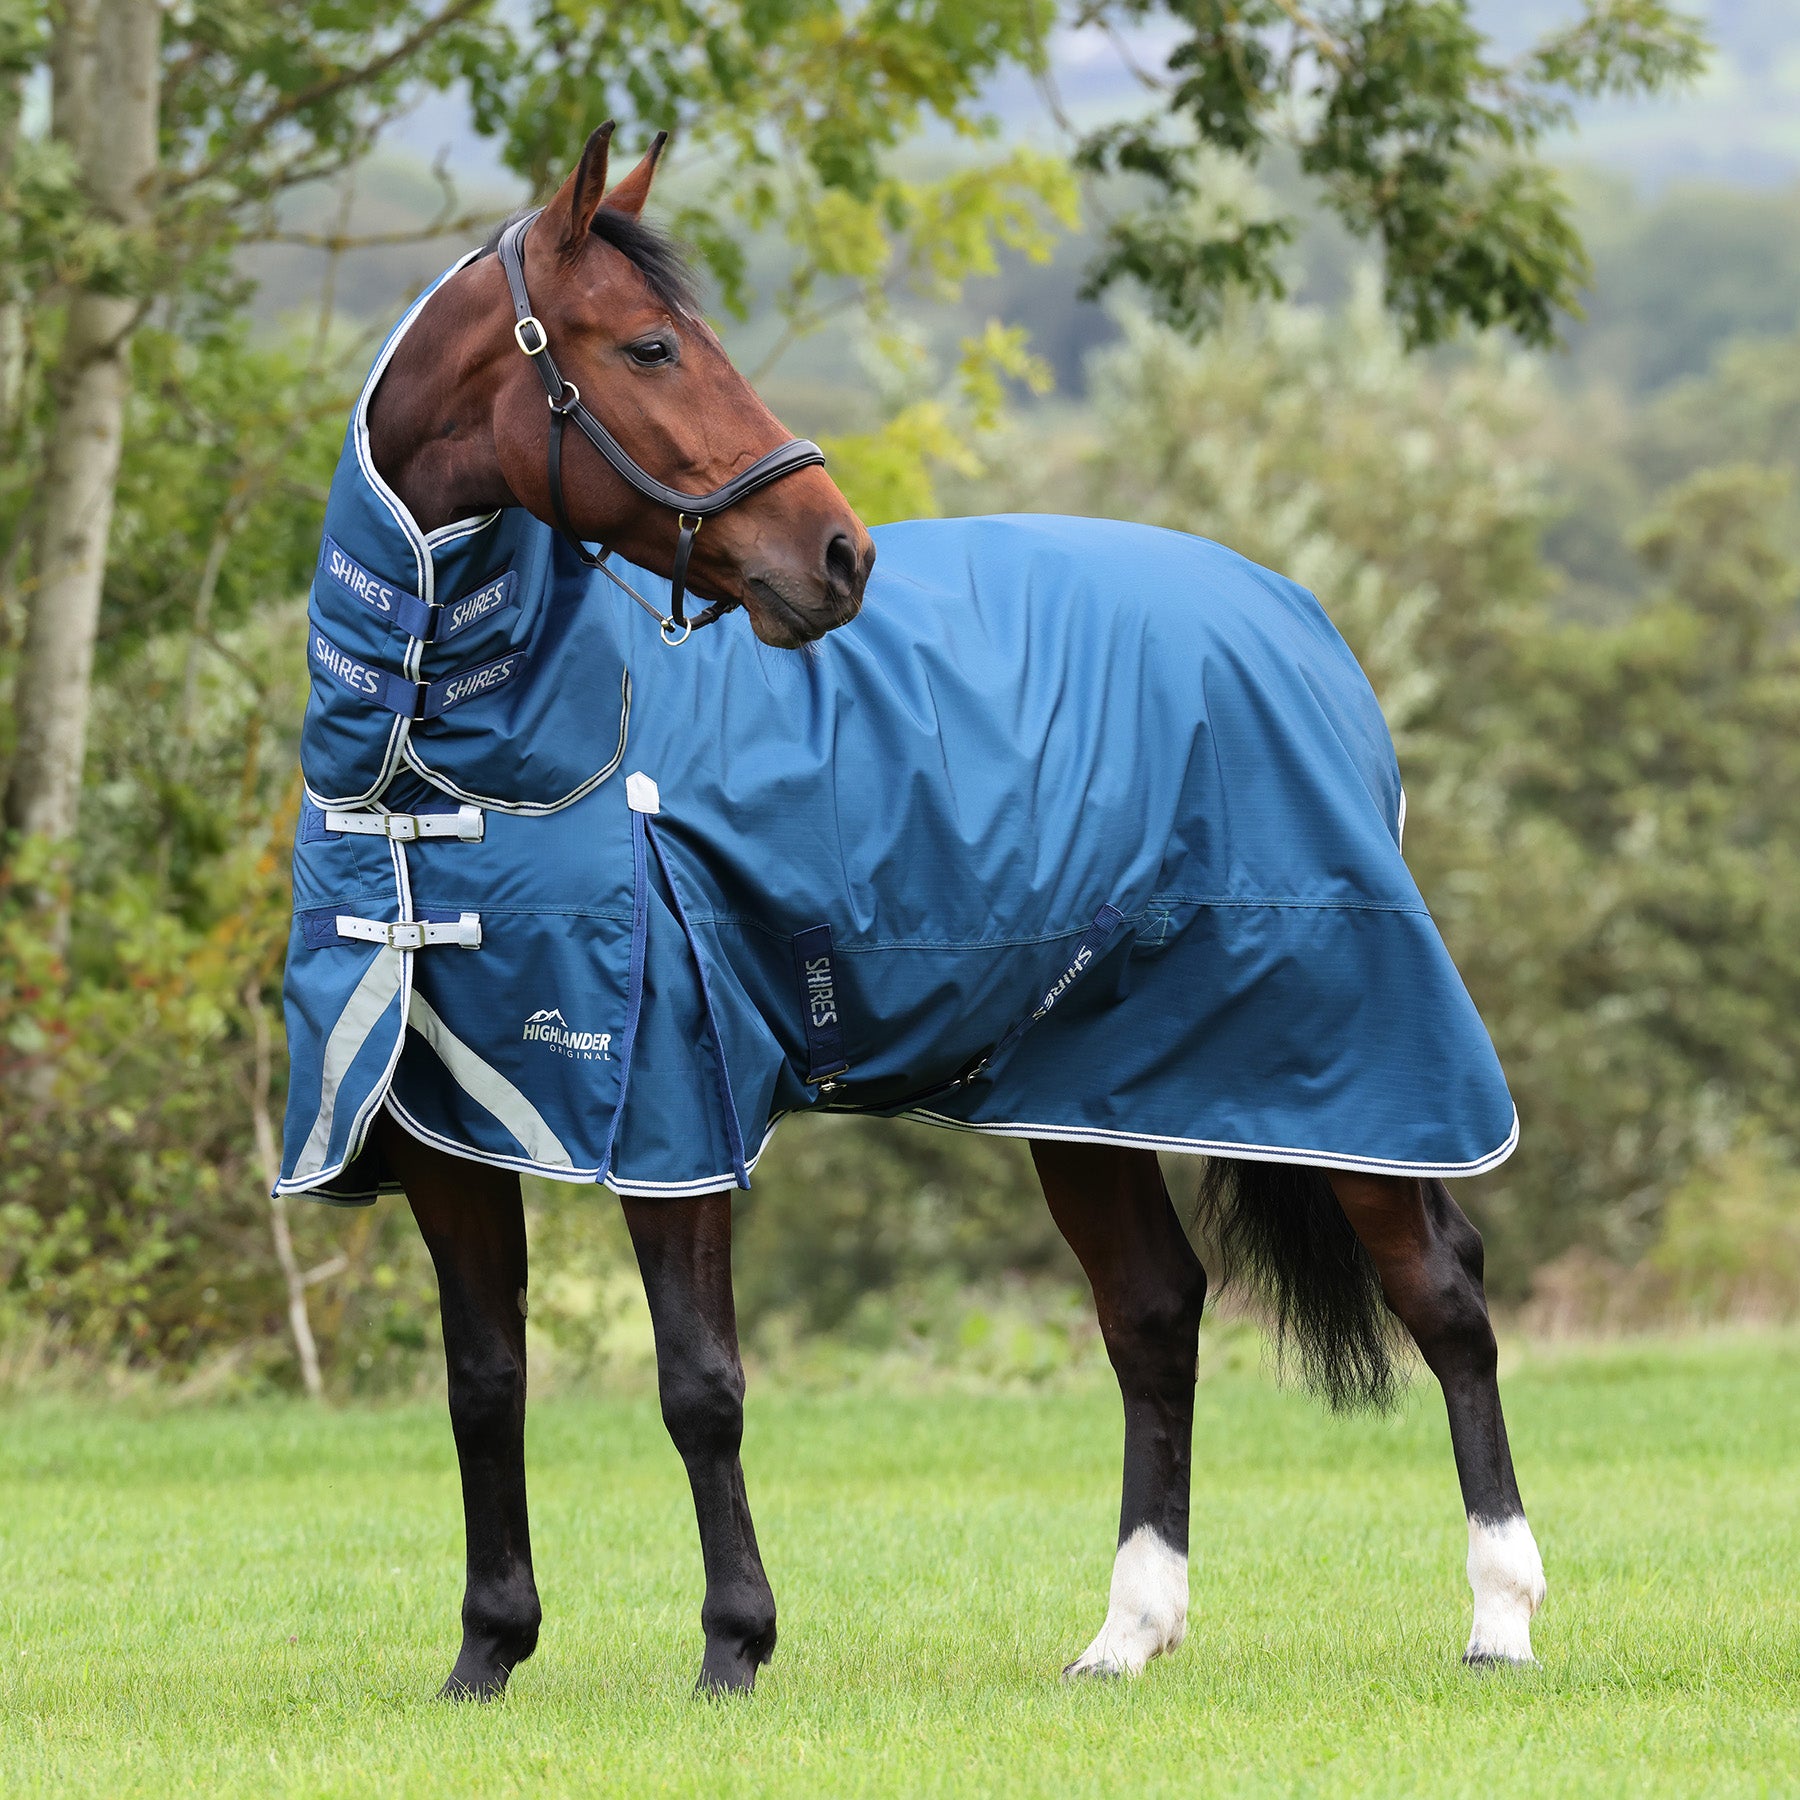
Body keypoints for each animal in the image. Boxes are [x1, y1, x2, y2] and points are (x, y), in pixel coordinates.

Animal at [327, 119, 1548, 1692]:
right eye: (651, 345)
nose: (838, 554)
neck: (477, 762)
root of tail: (1299, 623)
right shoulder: (449, 1133)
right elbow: (485, 1383)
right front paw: (487, 1654)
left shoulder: (673, 1109)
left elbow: (699, 1383)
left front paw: (734, 1648)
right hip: (1092, 1088)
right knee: (1154, 1315)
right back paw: (1127, 1633)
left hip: (1348, 1064)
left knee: (1443, 1292)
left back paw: (1501, 1614)